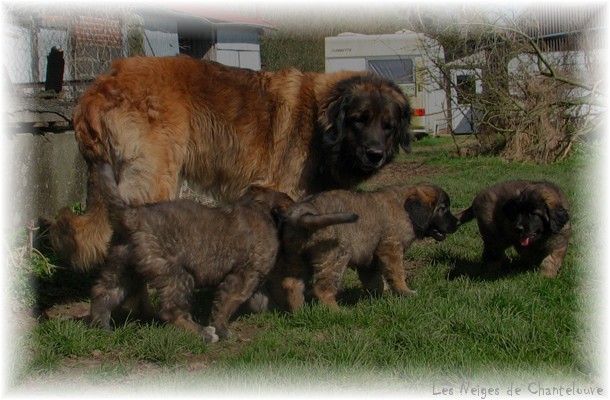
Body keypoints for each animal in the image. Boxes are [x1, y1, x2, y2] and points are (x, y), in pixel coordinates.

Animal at [45, 54, 410, 270]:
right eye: (359, 120)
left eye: (388, 126)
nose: (375, 154)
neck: (320, 120)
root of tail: (98, 86)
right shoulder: (284, 193)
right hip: (155, 180)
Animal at [88, 161, 294, 342]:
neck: (260, 206)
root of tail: (131, 217)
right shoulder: (245, 276)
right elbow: (228, 302)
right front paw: (222, 329)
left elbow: (261, 299)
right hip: (176, 275)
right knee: (173, 312)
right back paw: (204, 333)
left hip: (123, 268)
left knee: (104, 292)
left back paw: (102, 327)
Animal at [270, 183, 456, 310]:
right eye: (443, 209)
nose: (457, 223)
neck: (406, 210)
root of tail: (305, 209)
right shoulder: (391, 248)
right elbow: (397, 273)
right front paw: (405, 292)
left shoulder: (370, 257)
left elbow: (374, 281)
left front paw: (378, 298)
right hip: (336, 255)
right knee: (322, 289)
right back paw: (337, 313)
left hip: (297, 256)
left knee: (292, 283)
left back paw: (298, 311)